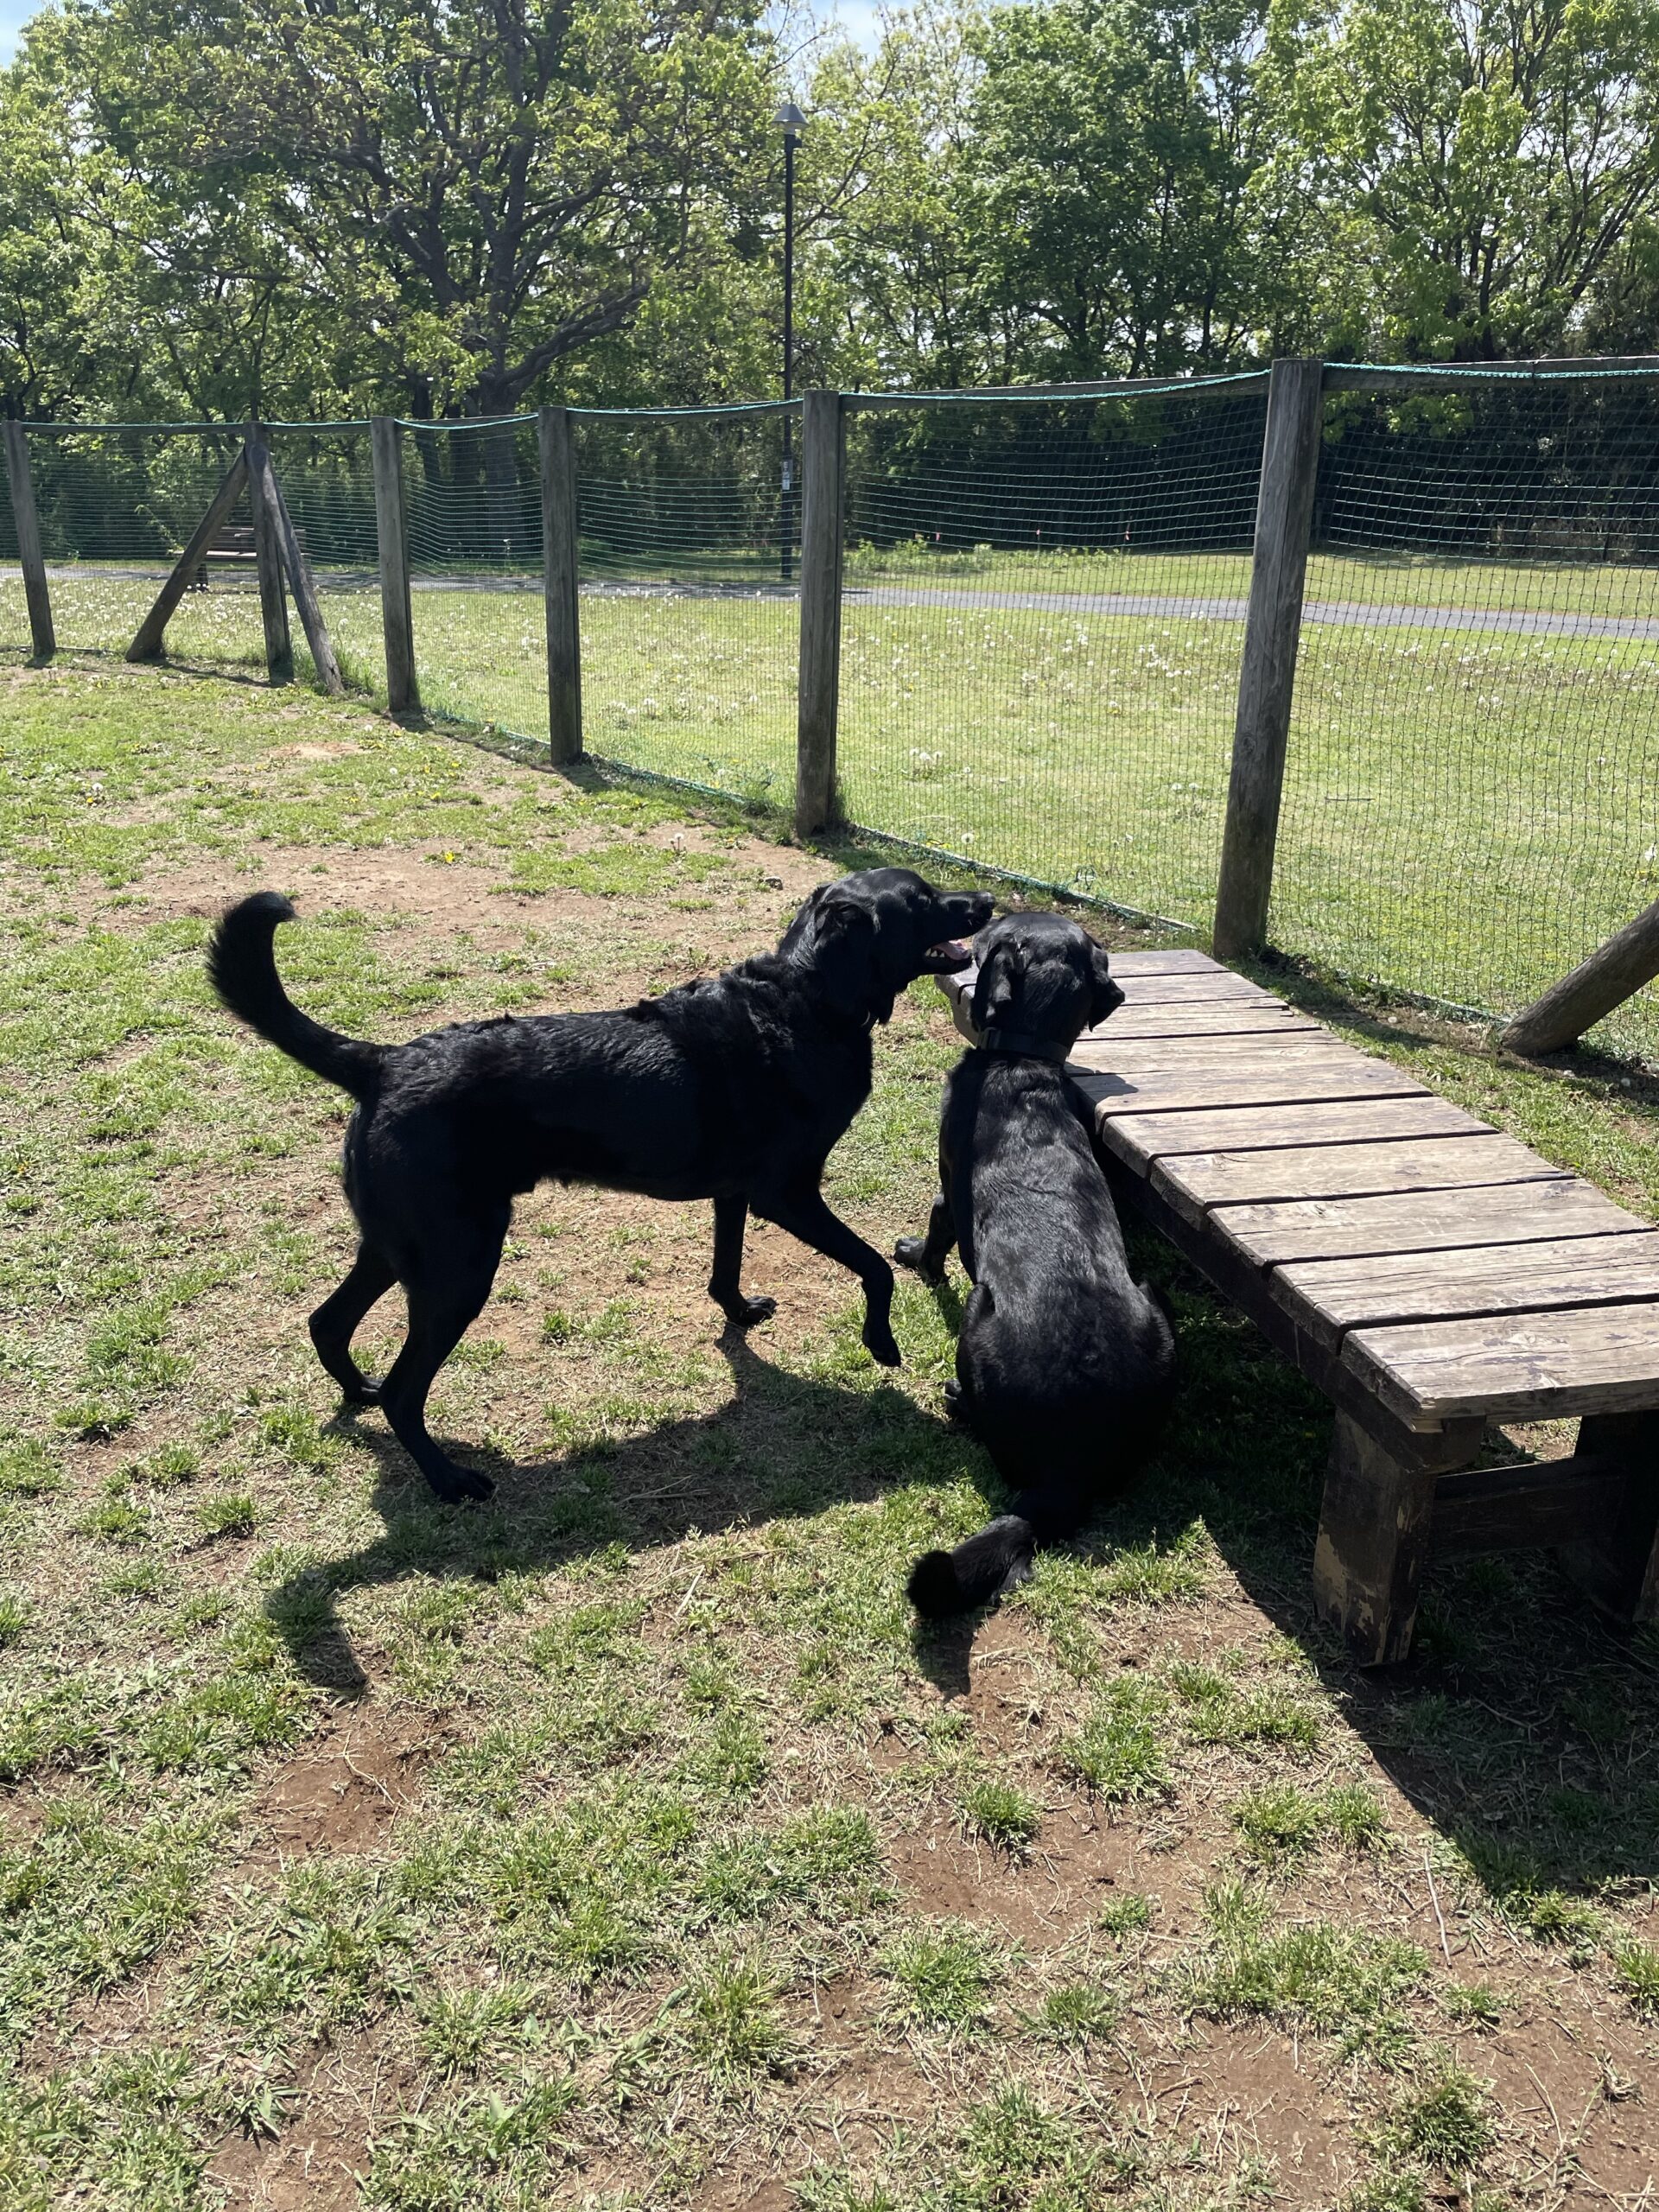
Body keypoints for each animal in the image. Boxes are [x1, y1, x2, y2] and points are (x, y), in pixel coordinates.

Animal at [209, 867, 993, 1503]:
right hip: (459, 1266)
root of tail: (383, 1062)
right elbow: (874, 1267)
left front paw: (739, 1312)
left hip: (403, 1248)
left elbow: (725, 1268)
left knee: (327, 1322)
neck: (806, 998)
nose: (986, 901)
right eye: (923, 900)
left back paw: (360, 1392)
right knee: (406, 1392)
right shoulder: (788, 1193)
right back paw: (448, 1480)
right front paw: (882, 1344)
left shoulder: (734, 1192)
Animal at [894, 911, 1175, 1613]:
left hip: (978, 1312)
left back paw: (957, 1400)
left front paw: (914, 1257)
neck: (1022, 1059)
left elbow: (936, 1231)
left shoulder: (946, 1187)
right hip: (1155, 1301)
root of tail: (1064, 1474)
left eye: (992, 930)